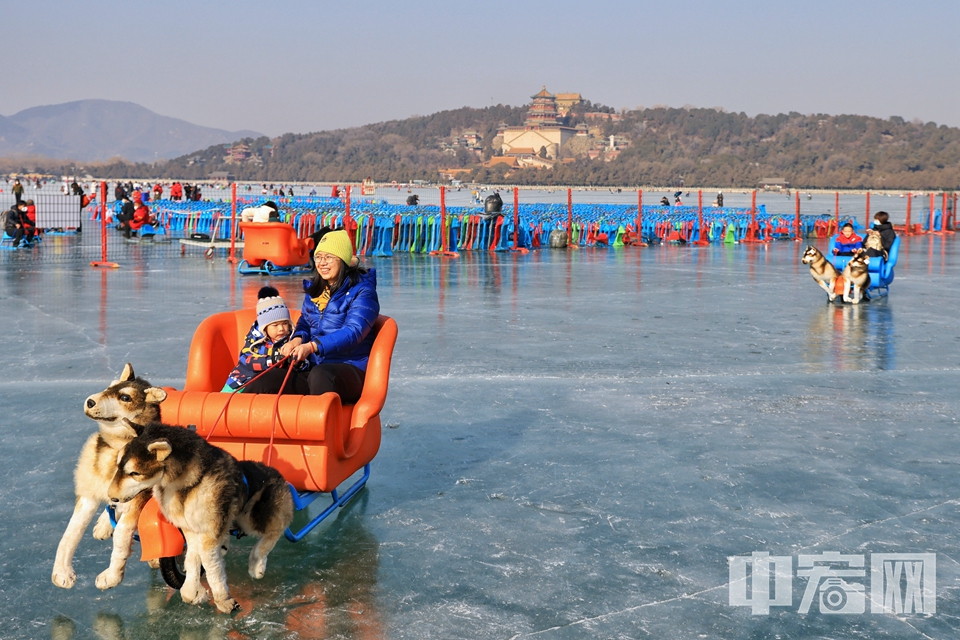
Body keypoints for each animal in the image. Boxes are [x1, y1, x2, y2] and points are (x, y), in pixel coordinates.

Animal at [52, 364, 167, 592]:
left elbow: (122, 535)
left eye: (125, 397)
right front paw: (62, 572)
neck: (116, 448)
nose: (90, 401)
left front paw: (112, 576)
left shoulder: (138, 500)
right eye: (108, 387)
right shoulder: (88, 494)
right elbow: (71, 531)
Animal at [108, 422, 292, 612]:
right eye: (118, 465)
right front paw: (193, 592)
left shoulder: (209, 531)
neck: (191, 484)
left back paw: (257, 563)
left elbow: (210, 563)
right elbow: (191, 557)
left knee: (278, 527)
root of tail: (278, 474)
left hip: (252, 516)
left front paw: (223, 599)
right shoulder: (190, 528)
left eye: (135, 473)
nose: (111, 497)